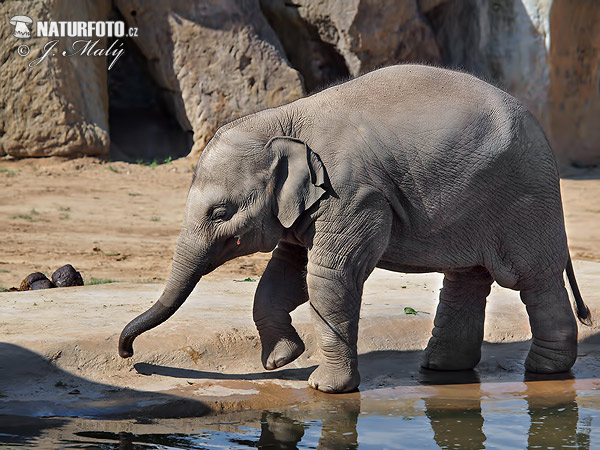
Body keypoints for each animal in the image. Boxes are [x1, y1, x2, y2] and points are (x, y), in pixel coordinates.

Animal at [118, 64, 592, 394]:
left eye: (219, 213)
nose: (128, 355)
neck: (285, 119)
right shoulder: (307, 206)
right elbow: (284, 275)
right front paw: (281, 360)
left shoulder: (351, 194)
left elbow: (328, 276)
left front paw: (322, 387)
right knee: (467, 278)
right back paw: (442, 368)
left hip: (526, 199)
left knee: (532, 278)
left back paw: (545, 371)